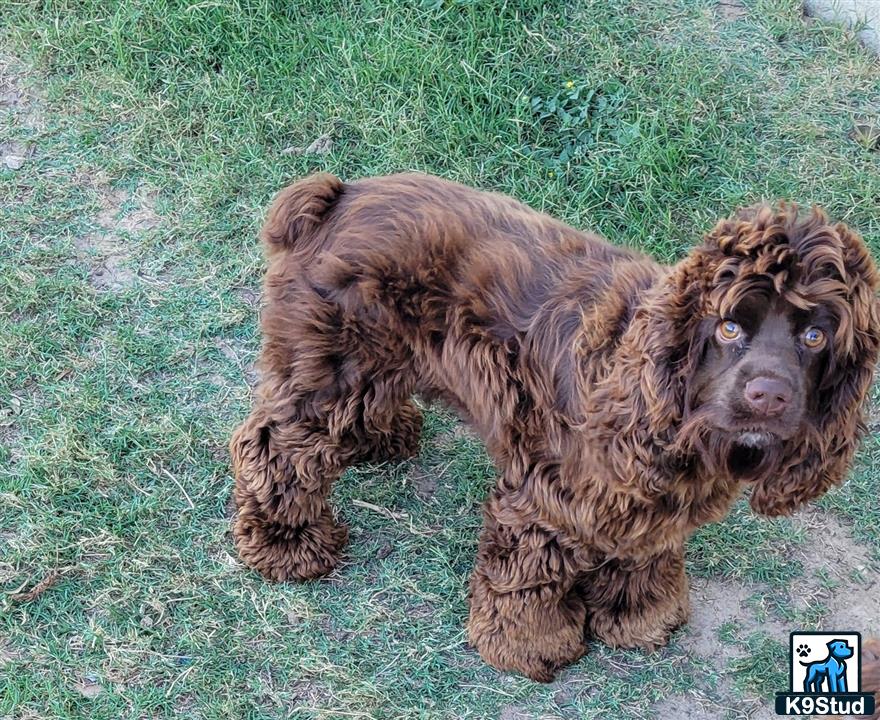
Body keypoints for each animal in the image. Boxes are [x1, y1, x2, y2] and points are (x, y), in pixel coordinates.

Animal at [232, 174, 880, 680]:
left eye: (815, 336)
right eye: (728, 327)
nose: (768, 395)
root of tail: (335, 197)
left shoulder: (646, 506)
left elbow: (644, 554)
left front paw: (641, 616)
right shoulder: (545, 496)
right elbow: (529, 577)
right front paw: (529, 647)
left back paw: (381, 438)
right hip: (333, 371)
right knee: (273, 447)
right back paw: (286, 543)